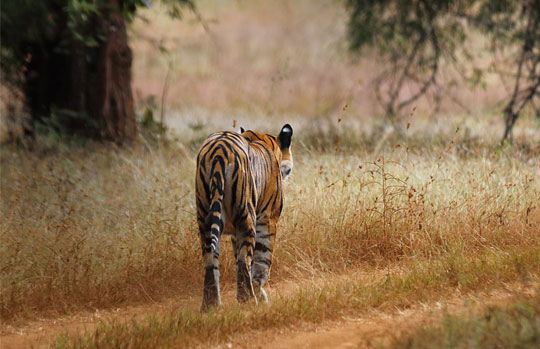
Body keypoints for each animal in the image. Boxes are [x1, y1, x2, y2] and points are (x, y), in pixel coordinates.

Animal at [195, 123, 294, 308]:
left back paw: (212, 306)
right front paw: (259, 293)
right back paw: (248, 299)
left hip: (205, 218)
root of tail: (219, 152)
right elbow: (261, 259)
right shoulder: (267, 220)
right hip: (246, 217)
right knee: (243, 259)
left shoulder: (235, 233)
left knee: (211, 261)